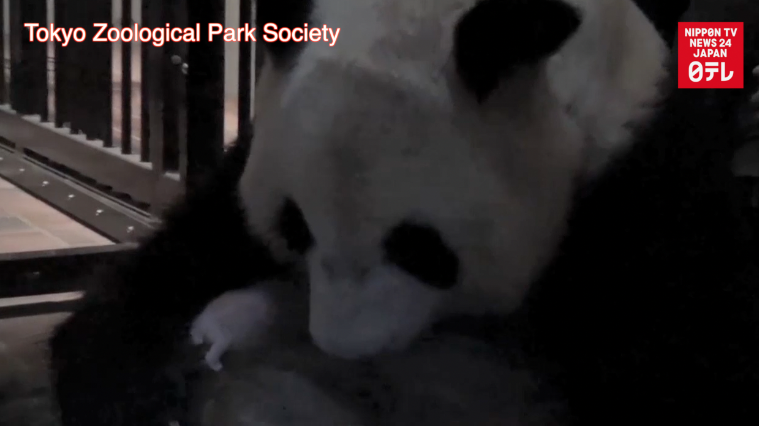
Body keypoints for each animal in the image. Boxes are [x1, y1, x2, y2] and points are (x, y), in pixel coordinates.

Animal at [46, 0, 759, 426]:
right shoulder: (241, 183)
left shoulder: (639, 199)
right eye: (294, 226)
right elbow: (159, 280)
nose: (342, 347)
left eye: (419, 248)